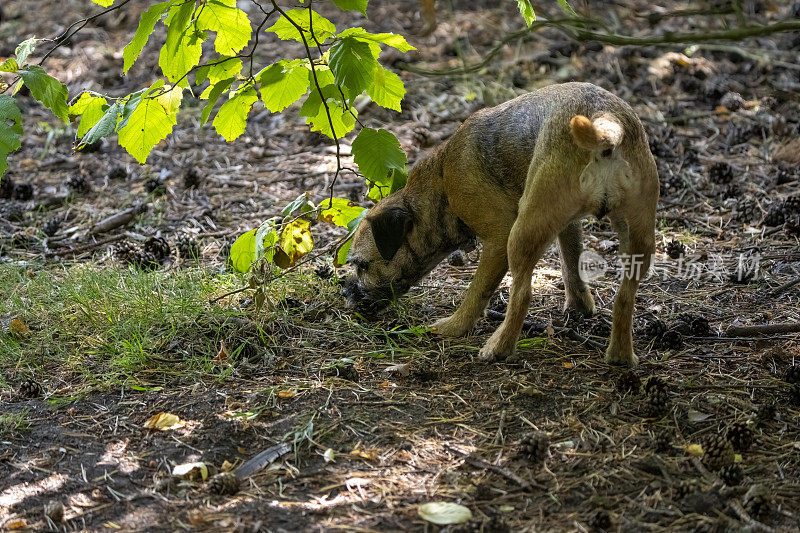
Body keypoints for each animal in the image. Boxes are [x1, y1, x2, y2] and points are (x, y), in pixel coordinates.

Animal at [344, 82, 656, 366]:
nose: (347, 292)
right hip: (638, 237)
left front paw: (456, 326)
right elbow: (571, 263)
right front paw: (579, 305)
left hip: (521, 233)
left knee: (522, 295)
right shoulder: (566, 223)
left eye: (362, 265)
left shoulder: (498, 238)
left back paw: (498, 347)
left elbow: (477, 291)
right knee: (625, 297)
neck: (441, 182)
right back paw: (620, 355)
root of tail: (604, 121)